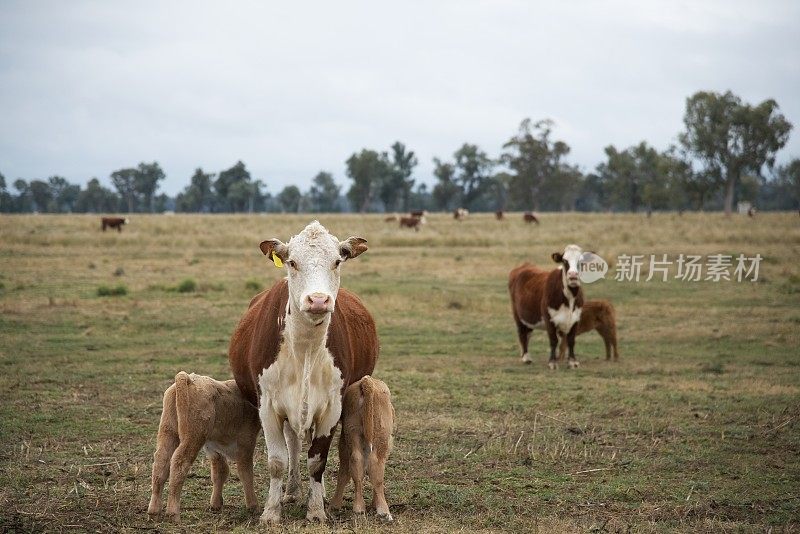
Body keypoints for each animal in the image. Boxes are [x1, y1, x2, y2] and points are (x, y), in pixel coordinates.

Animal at [147, 372, 260, 524]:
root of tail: (188, 379)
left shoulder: (214, 449)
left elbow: (220, 472)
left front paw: (216, 504)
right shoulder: (246, 442)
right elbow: (245, 472)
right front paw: (253, 506)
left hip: (168, 432)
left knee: (161, 463)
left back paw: (154, 512)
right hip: (193, 438)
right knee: (179, 463)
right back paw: (173, 513)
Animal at [228, 222, 378, 528]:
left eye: (337, 261)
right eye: (292, 262)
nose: (318, 300)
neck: (305, 350)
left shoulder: (331, 407)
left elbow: (317, 461)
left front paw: (316, 509)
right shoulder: (268, 406)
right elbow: (278, 461)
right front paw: (271, 512)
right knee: (293, 444)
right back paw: (292, 491)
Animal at [330, 376, 396, 524]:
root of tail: (367, 381)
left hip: (352, 432)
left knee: (356, 461)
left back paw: (359, 509)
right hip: (381, 438)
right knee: (376, 466)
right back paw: (384, 512)